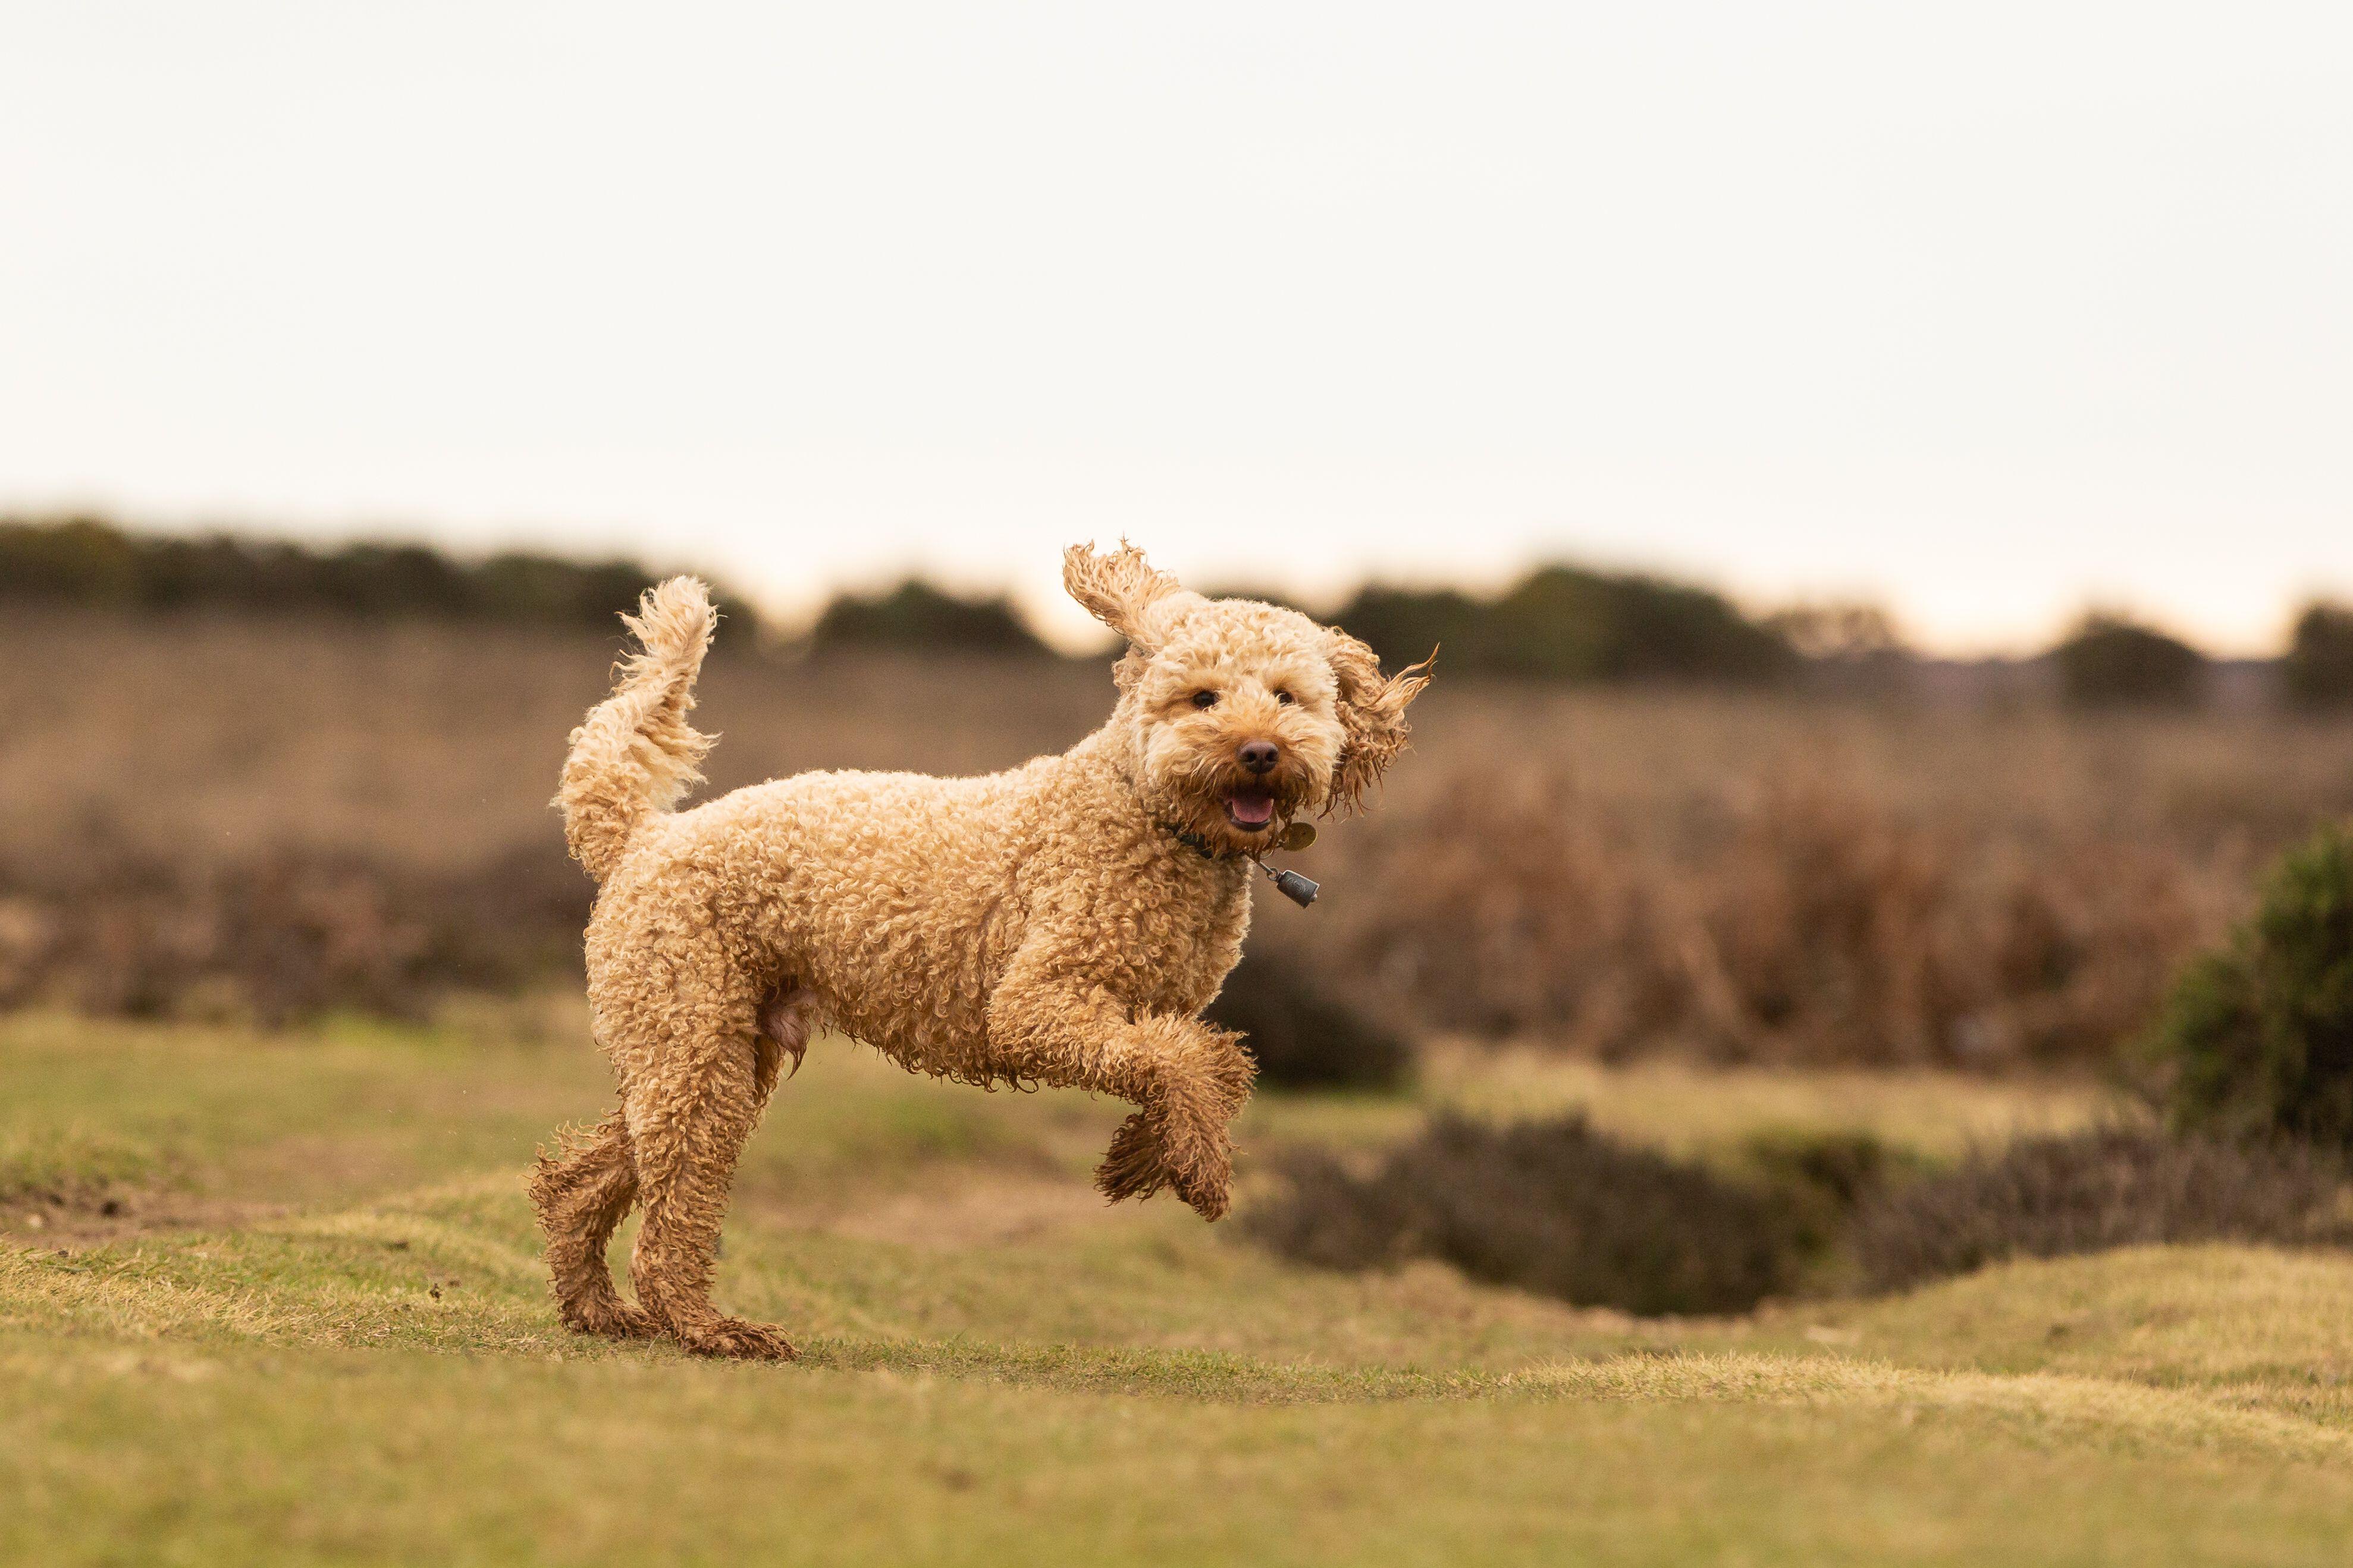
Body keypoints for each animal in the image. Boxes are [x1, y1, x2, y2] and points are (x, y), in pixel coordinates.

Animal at [534, 545, 1430, 1354]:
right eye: (1202, 697)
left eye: (1287, 696)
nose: (1259, 751)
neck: (1146, 811)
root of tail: (640, 837)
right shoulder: (1035, 1007)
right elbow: (1183, 1062)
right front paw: (1198, 1170)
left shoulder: (1144, 1010)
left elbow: (1203, 1064)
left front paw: (1142, 1159)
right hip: (693, 1037)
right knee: (669, 1212)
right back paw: (706, 1328)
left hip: (711, 1047)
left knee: (583, 1180)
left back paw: (597, 1309)